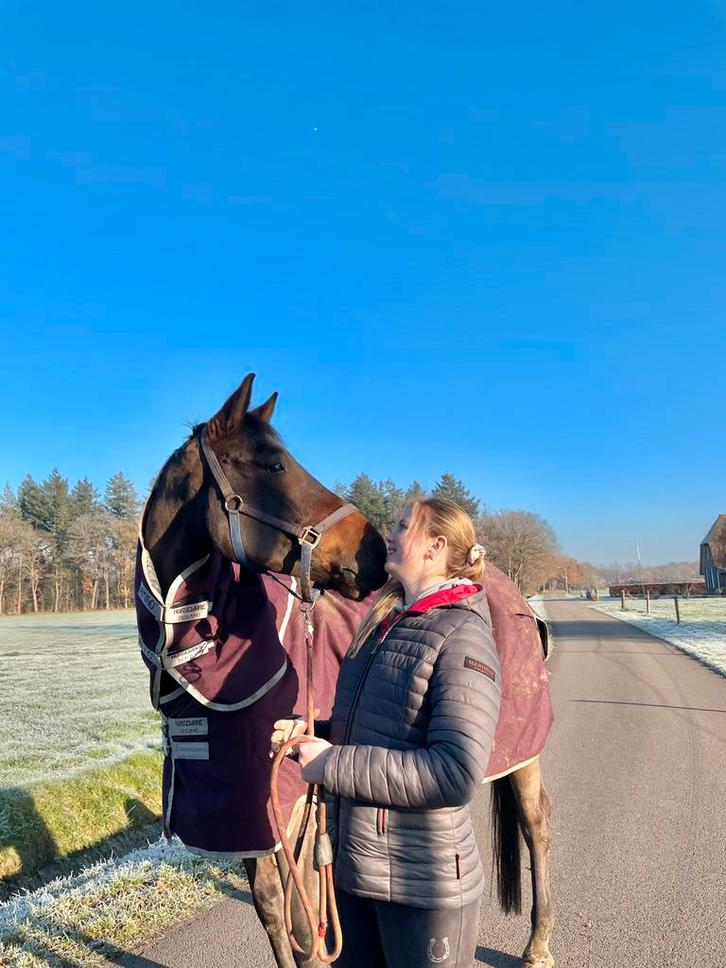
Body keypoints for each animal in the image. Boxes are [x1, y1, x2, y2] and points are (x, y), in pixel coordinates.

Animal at [139, 373, 555, 968]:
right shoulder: (245, 819)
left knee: (535, 824)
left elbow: (307, 927)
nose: (374, 549)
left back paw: (538, 944)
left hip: (523, 749)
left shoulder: (290, 805)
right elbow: (273, 911)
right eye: (273, 465)